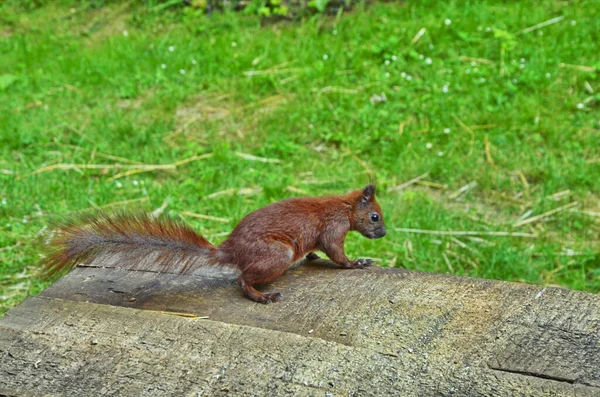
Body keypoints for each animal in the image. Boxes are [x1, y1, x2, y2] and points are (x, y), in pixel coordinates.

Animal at [44, 184, 386, 302]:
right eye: (375, 217)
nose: (383, 234)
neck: (345, 207)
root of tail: (230, 251)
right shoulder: (333, 228)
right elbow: (336, 253)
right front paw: (357, 263)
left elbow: (317, 251)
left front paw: (313, 259)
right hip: (277, 253)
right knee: (242, 279)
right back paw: (261, 295)